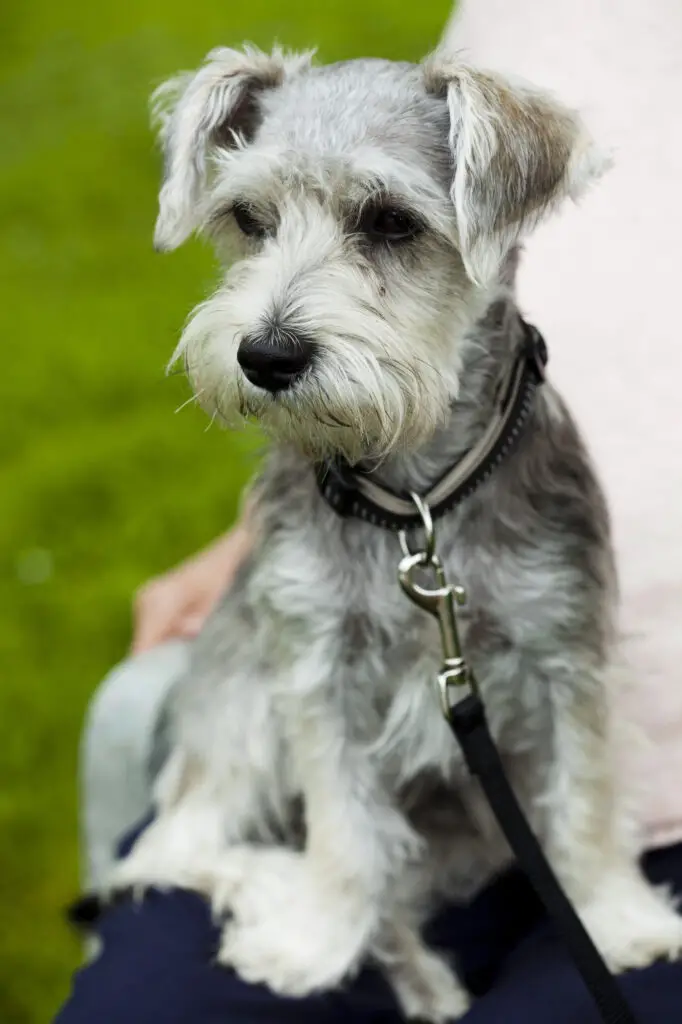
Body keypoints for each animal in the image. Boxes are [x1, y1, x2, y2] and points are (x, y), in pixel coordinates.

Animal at [109, 41, 679, 1024]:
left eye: (389, 222)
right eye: (248, 218)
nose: (265, 356)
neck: (416, 508)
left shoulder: (564, 653)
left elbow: (583, 800)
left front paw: (616, 920)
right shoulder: (317, 674)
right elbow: (344, 830)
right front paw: (311, 939)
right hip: (245, 709)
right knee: (180, 846)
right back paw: (285, 897)